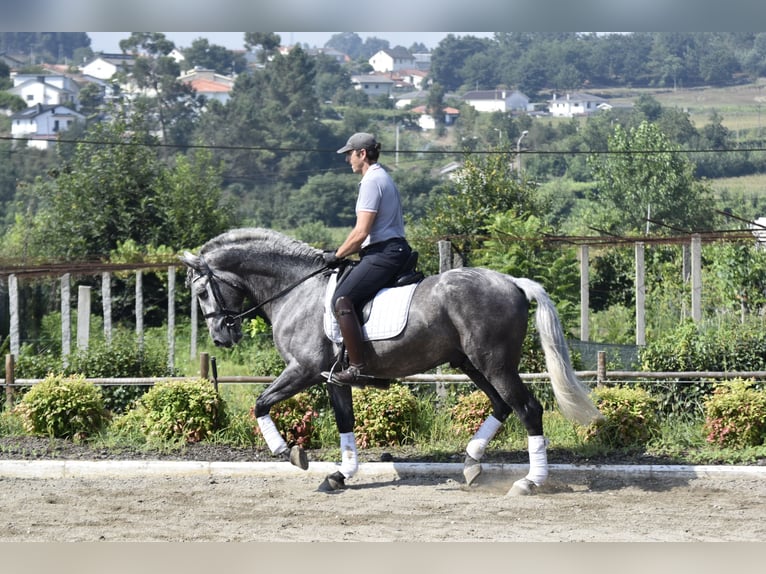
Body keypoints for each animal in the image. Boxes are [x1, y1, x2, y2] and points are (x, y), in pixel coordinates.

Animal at [181, 228, 603, 495]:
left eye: (201, 292)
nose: (221, 337)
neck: (296, 290)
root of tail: (512, 281)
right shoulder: (332, 378)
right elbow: (345, 423)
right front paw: (340, 474)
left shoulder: (303, 369)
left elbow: (260, 403)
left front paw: (289, 453)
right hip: (470, 363)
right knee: (501, 405)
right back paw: (470, 463)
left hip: (494, 363)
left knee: (527, 409)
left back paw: (529, 482)